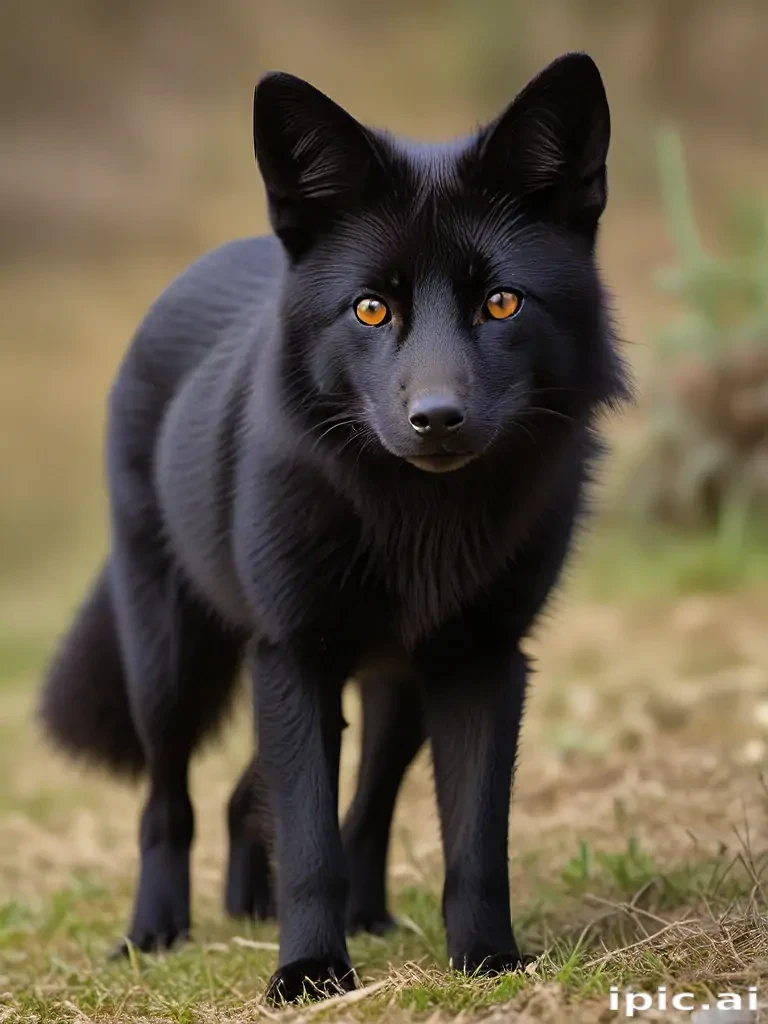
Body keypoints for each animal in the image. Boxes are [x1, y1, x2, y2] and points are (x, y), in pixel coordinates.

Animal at [39, 52, 628, 1003]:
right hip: (172, 662)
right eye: (370, 309)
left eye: (503, 303)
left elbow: (473, 840)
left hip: (392, 689)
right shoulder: (294, 653)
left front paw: (487, 960)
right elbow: (309, 838)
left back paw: (315, 911)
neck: (414, 521)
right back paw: (155, 934)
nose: (438, 419)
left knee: (327, 801)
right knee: (170, 802)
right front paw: (309, 973)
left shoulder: (482, 659)